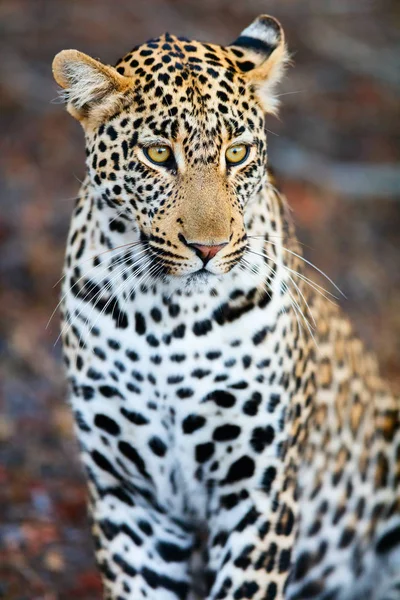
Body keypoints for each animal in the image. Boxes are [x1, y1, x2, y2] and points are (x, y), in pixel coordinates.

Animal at [51, 12, 398, 600]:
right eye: (158, 154)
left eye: (236, 154)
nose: (209, 249)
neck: (165, 318)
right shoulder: (128, 495)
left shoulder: (257, 490)